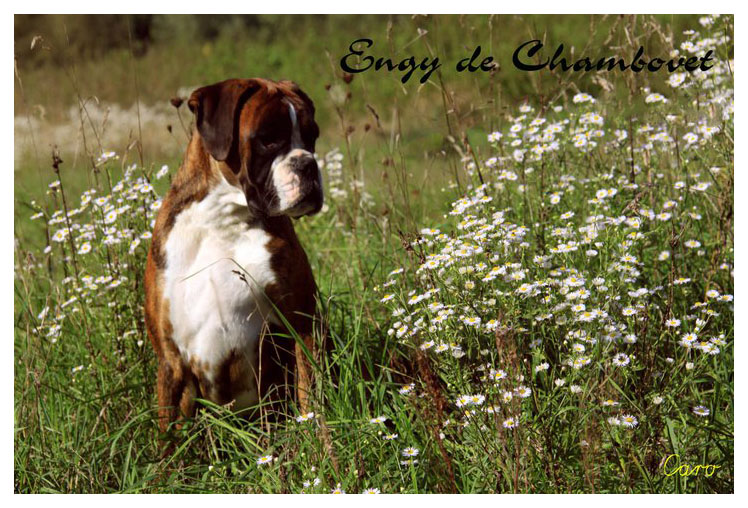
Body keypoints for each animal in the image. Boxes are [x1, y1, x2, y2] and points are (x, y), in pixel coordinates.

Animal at [144, 78, 324, 432]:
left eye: (312, 137)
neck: (222, 217)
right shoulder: (172, 361)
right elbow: (168, 437)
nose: (307, 163)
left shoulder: (303, 328)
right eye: (268, 139)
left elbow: (311, 398)